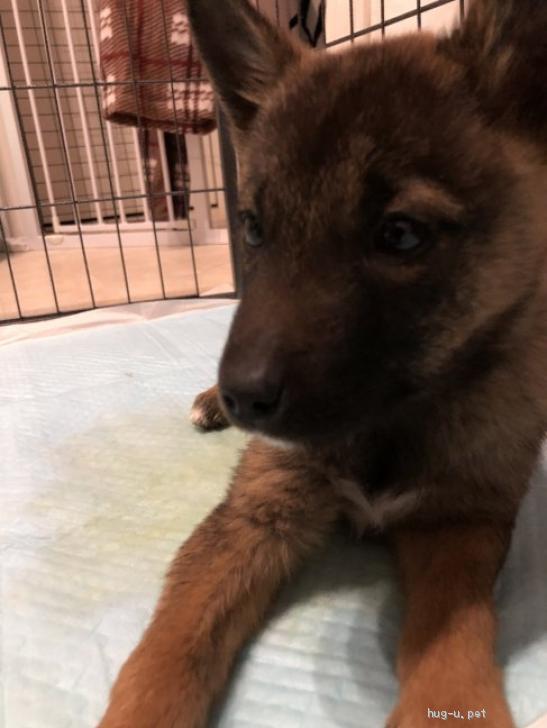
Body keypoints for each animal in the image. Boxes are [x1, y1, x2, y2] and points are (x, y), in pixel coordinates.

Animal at [99, 1, 547, 726]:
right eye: (253, 227)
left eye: (400, 235)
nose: (242, 397)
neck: (390, 424)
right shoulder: (257, 512)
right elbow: (169, 652)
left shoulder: (461, 520)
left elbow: (451, 638)